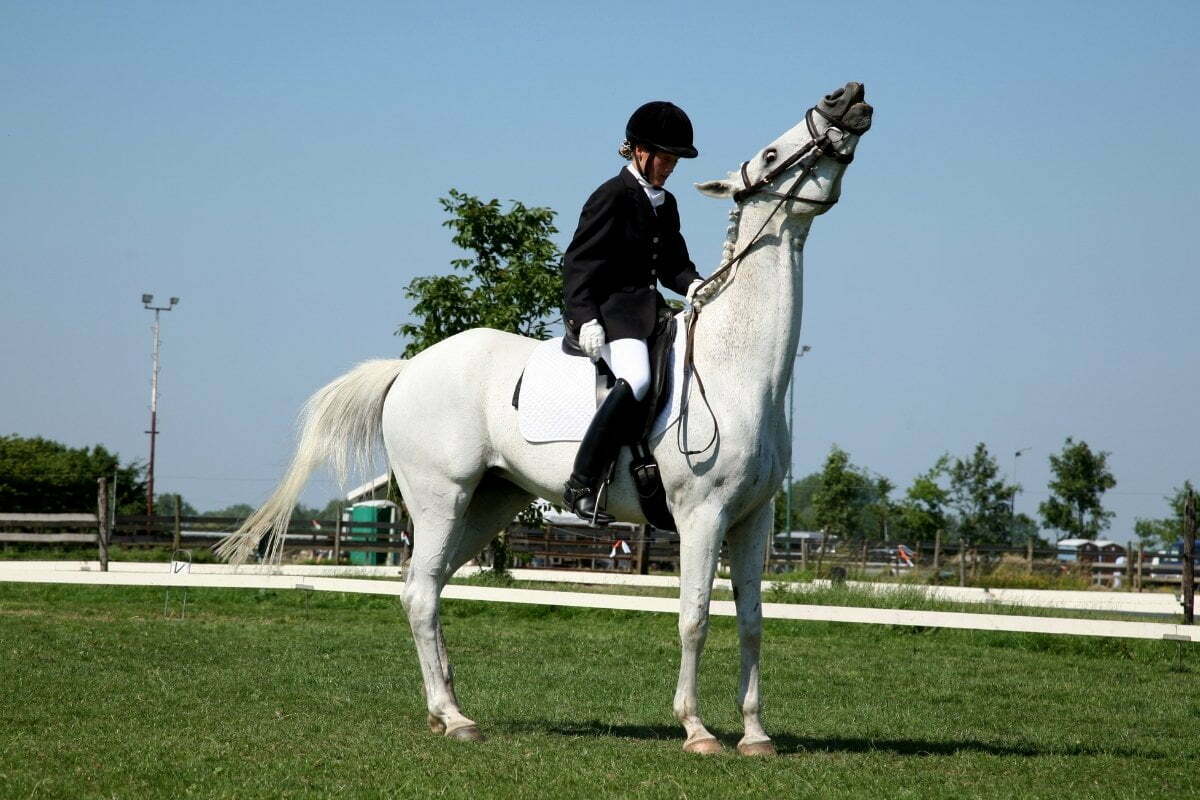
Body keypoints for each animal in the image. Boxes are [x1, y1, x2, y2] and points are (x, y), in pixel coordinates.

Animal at [218, 82, 873, 756]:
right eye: (770, 154)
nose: (847, 96)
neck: (736, 370)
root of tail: (407, 369)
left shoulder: (752, 519)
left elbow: (752, 625)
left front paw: (756, 734)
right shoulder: (703, 515)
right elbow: (694, 619)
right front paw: (696, 730)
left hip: (488, 502)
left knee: (427, 585)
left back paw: (444, 708)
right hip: (441, 497)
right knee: (421, 593)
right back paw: (454, 719)